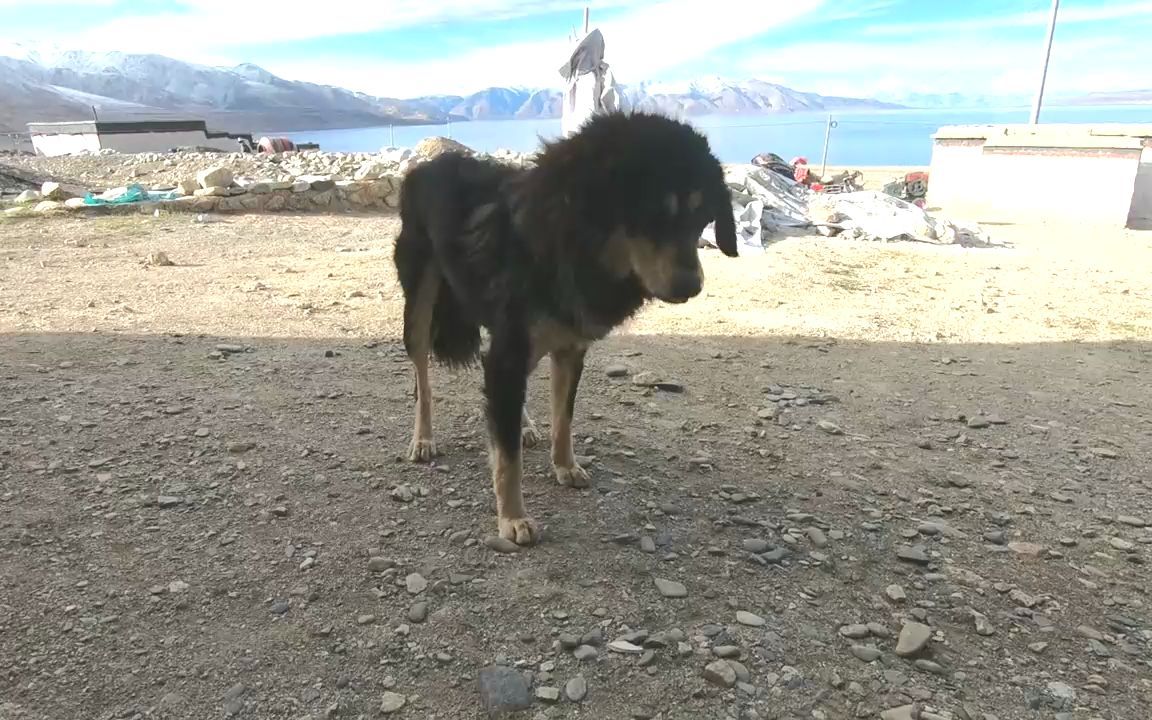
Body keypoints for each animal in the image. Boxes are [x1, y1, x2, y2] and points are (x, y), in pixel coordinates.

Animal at [396, 111, 737, 543]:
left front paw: (564, 466)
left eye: (702, 218)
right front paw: (512, 517)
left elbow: (564, 417)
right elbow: (507, 455)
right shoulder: (510, 352)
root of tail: (427, 164)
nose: (691, 286)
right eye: (651, 214)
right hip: (419, 309)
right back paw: (423, 438)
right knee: (422, 380)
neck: (571, 242)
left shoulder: (569, 350)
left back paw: (523, 424)